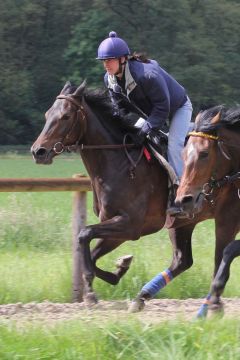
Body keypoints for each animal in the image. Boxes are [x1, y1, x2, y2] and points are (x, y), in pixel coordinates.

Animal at [31, 81, 217, 310]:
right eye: (47, 114)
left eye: (65, 116)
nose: (38, 151)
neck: (119, 163)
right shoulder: (118, 228)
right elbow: (92, 253)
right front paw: (120, 267)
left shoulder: (131, 225)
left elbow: (84, 234)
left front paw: (90, 292)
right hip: (182, 223)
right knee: (182, 260)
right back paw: (142, 297)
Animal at [174, 105, 240, 316]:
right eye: (183, 154)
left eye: (204, 153)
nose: (183, 200)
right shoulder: (227, 221)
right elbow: (224, 252)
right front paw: (214, 303)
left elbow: (229, 249)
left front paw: (215, 296)